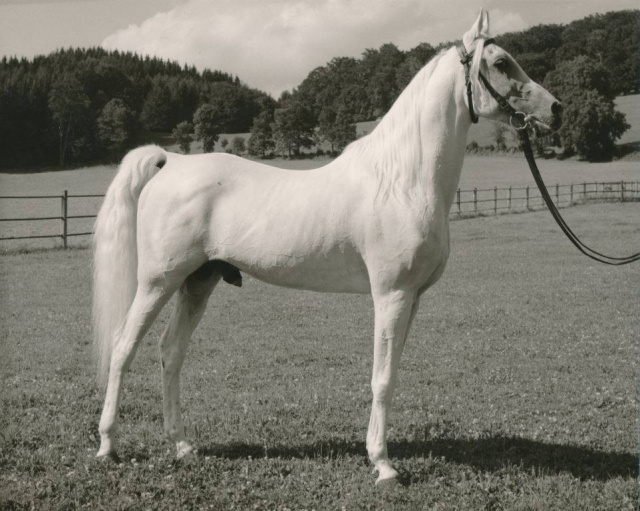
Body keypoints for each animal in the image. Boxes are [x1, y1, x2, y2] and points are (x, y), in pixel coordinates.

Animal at [91, 11, 560, 484]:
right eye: (500, 62)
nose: (556, 109)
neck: (402, 181)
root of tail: (171, 161)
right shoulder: (391, 295)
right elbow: (381, 378)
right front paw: (382, 464)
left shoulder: (413, 298)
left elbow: (392, 373)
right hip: (158, 282)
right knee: (123, 349)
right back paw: (108, 446)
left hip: (198, 282)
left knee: (171, 353)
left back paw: (183, 445)